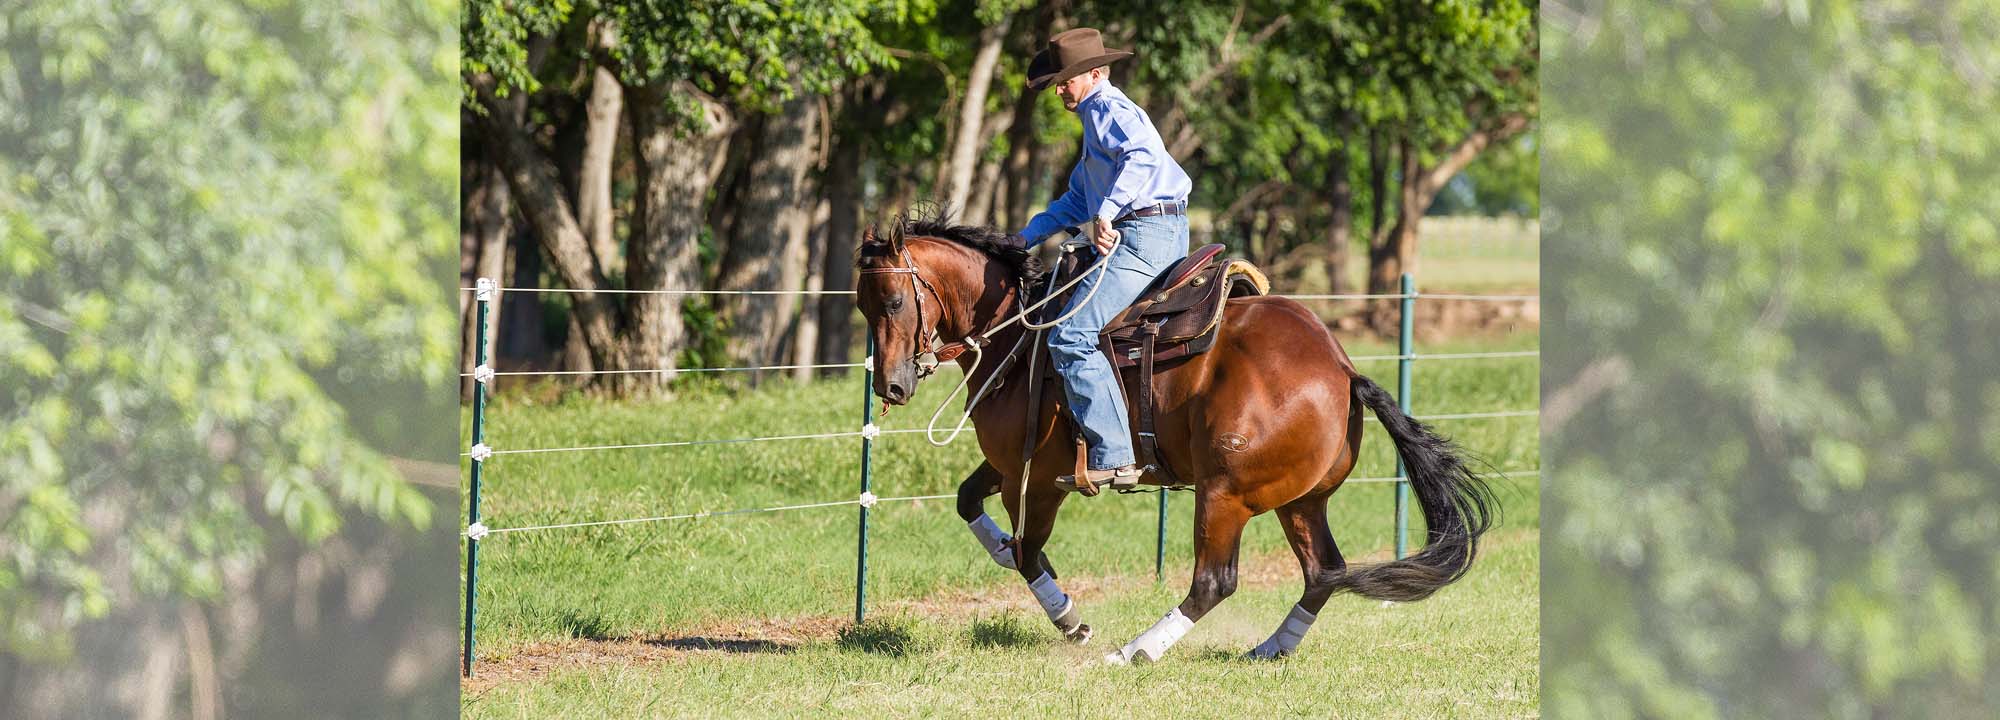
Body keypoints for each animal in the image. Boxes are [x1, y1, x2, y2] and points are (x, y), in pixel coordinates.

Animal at [852, 210, 1496, 664]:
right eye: (861, 306)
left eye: (892, 300)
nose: (891, 385)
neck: (1022, 335)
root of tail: (1341, 370)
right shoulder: (1010, 465)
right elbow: (970, 505)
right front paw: (1008, 555)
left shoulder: (1034, 483)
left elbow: (1030, 553)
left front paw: (1072, 622)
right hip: (1302, 500)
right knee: (1324, 572)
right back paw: (1269, 649)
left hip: (1225, 495)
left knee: (1214, 582)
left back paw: (1135, 651)